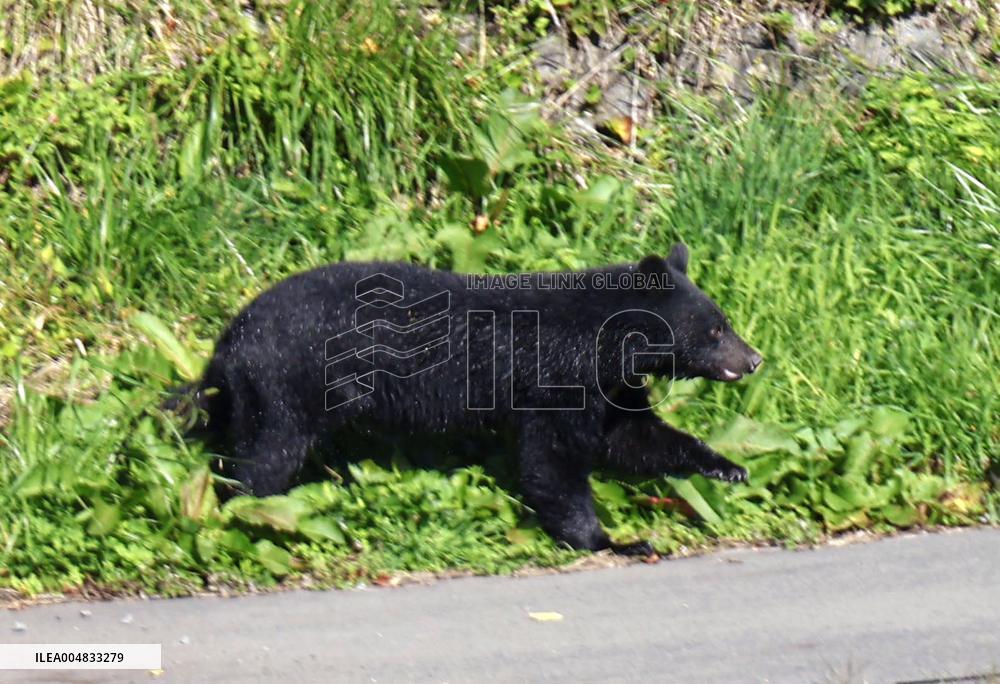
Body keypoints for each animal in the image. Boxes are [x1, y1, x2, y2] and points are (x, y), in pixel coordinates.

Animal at [189, 243, 762, 555]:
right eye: (715, 329)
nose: (754, 358)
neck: (603, 341)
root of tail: (228, 341)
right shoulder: (555, 379)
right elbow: (552, 461)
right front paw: (611, 541)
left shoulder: (611, 386)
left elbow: (634, 436)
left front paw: (728, 467)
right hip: (288, 384)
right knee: (266, 457)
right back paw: (248, 516)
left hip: (255, 392)